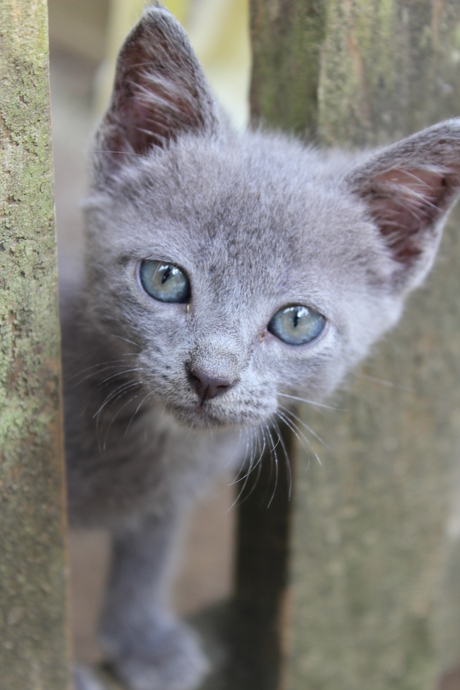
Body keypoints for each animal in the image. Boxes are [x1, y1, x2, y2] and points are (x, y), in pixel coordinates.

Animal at [63, 5, 460, 688]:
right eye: (164, 279)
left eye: (296, 322)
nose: (209, 376)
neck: (153, 444)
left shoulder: (171, 494)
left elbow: (151, 544)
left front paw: (141, 639)